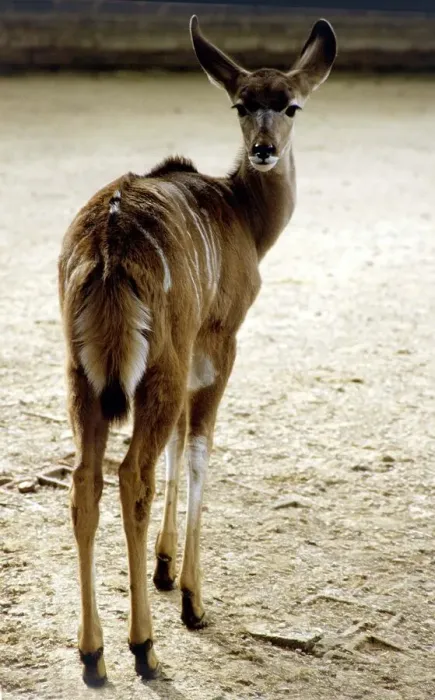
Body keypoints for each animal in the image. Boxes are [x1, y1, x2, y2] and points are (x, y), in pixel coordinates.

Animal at [58, 15, 336, 686]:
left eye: (289, 105)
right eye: (242, 104)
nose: (263, 149)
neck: (241, 214)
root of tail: (106, 251)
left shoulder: (184, 363)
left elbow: (179, 447)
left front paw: (162, 569)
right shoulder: (219, 343)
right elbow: (200, 451)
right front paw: (190, 597)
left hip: (82, 376)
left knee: (85, 481)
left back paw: (92, 653)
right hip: (158, 367)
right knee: (131, 473)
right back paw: (142, 647)